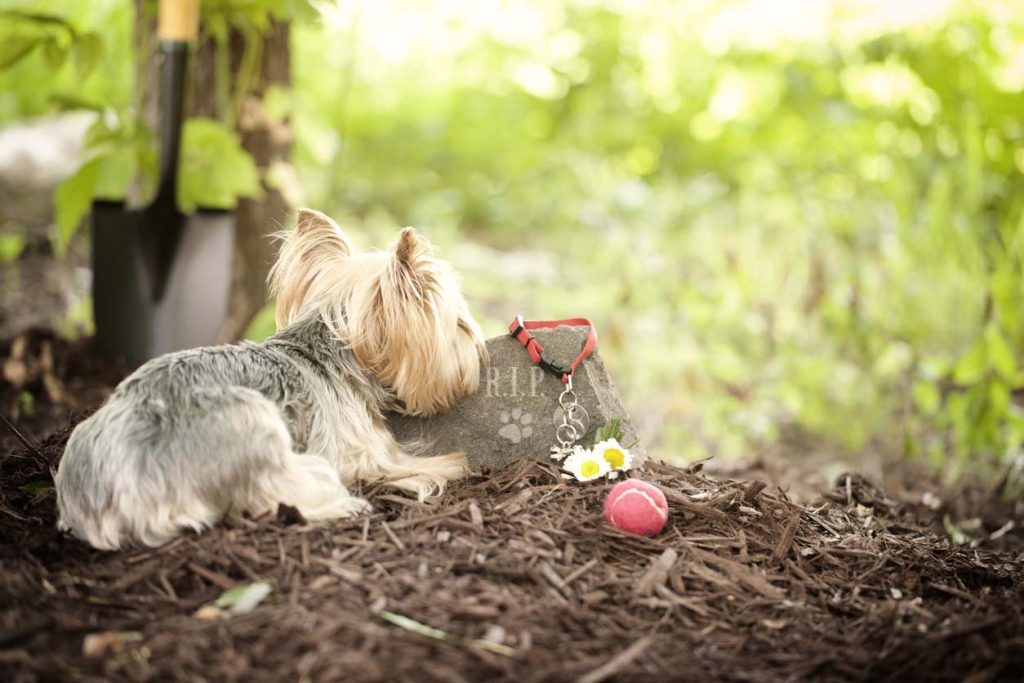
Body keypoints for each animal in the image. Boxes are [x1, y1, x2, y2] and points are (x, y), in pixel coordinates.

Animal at [56, 210, 487, 552]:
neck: (330, 342)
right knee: (276, 493)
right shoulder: (361, 450)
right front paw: (447, 466)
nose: (477, 352)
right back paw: (344, 504)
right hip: (252, 422)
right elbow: (410, 465)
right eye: (461, 326)